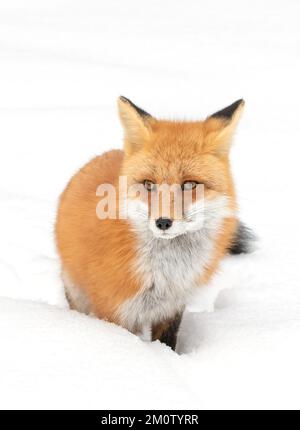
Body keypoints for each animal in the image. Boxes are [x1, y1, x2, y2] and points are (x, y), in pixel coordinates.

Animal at [55, 95, 250, 352]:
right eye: (149, 184)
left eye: (189, 184)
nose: (163, 222)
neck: (165, 273)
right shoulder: (115, 309)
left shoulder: (171, 309)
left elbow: (168, 343)